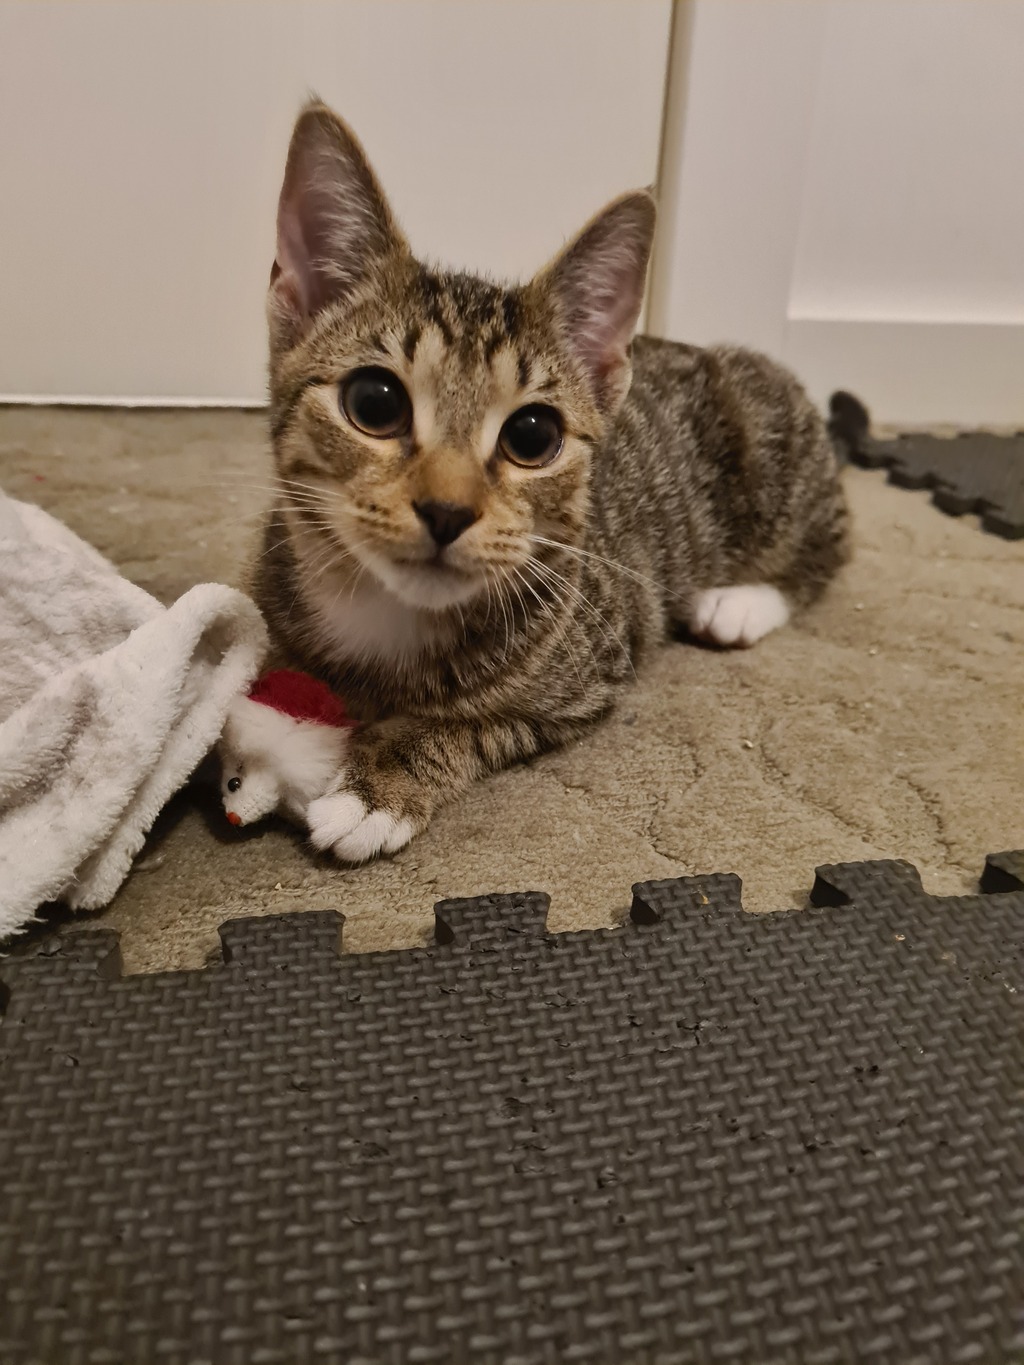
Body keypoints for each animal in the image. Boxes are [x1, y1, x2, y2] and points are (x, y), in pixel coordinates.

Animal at [251, 100, 850, 863]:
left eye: (532, 436)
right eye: (374, 404)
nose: (446, 510)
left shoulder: (595, 670)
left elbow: (477, 722)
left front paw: (378, 785)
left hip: (774, 453)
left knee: (826, 545)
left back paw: (738, 603)